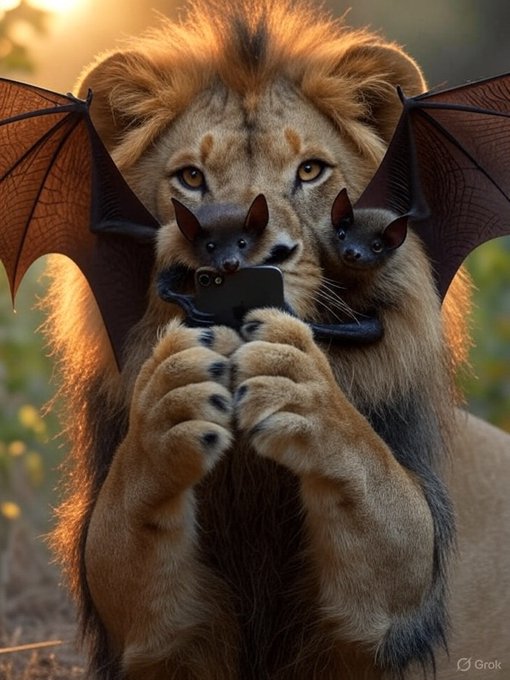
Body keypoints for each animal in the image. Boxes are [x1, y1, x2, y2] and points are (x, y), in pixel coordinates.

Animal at [44, 1, 510, 678]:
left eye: (310, 170)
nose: (249, 261)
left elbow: (376, 482)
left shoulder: (394, 609)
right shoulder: (147, 631)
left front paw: (305, 388)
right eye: (191, 178)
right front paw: (171, 397)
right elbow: (125, 526)